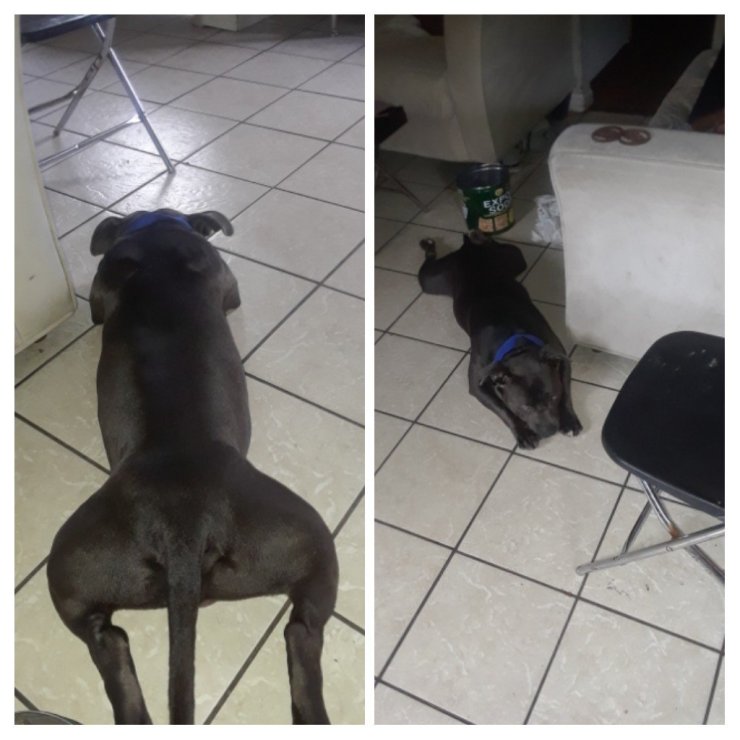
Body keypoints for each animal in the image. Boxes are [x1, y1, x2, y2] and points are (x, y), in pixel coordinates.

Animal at [46, 209, 338, 725]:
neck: (156, 235)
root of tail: (183, 524)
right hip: (310, 542)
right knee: (302, 631)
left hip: (73, 570)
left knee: (107, 642)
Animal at [418, 232, 582, 449]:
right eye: (524, 407)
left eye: (553, 397)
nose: (549, 432)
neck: (517, 342)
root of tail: (469, 249)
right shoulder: (477, 384)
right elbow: (503, 409)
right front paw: (523, 433)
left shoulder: (560, 357)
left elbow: (567, 393)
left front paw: (569, 420)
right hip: (432, 280)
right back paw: (434, 243)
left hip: (515, 258)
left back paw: (479, 235)